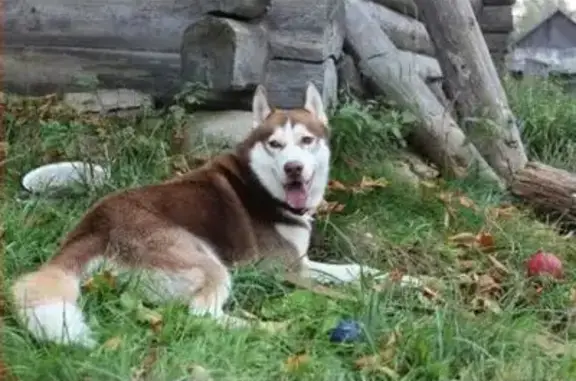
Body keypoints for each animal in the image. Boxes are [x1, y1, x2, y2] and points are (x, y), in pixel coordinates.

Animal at [10, 82, 388, 348]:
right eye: (275, 145)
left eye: (307, 140)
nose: (293, 168)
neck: (262, 185)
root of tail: (93, 225)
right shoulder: (282, 270)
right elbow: (337, 286)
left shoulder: (301, 263)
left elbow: (354, 270)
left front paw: (394, 280)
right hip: (209, 263)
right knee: (202, 315)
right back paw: (269, 328)